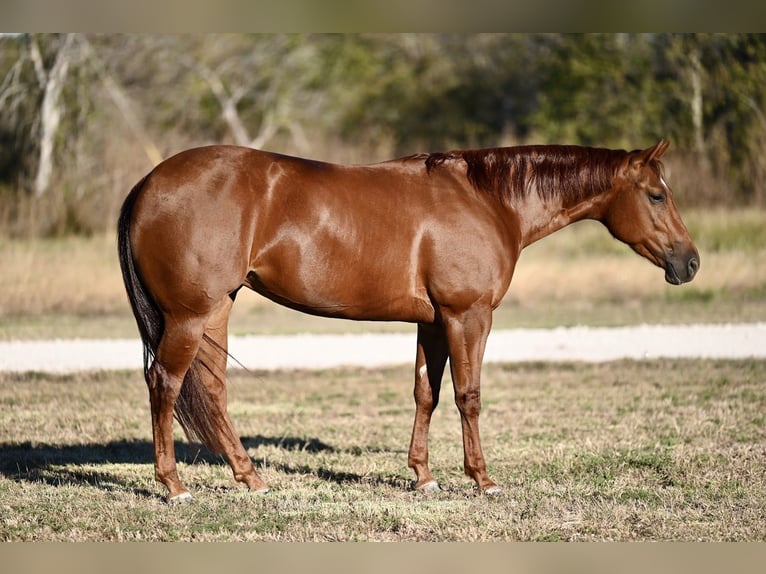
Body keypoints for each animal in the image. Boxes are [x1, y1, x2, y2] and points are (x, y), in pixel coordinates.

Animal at [118, 140, 704, 504]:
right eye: (657, 195)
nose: (690, 262)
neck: (488, 200)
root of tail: (147, 183)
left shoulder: (434, 321)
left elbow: (428, 393)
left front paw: (423, 477)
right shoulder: (469, 315)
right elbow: (469, 395)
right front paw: (482, 479)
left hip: (216, 309)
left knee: (211, 389)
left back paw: (251, 479)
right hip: (190, 316)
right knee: (165, 383)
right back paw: (174, 486)